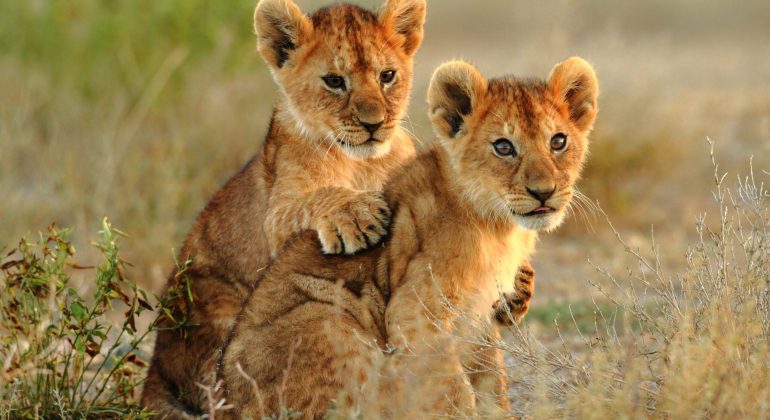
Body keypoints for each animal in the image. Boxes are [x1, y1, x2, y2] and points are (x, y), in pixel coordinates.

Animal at [141, 0, 427, 417]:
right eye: (334, 81)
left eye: (387, 76)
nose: (374, 124)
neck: (363, 163)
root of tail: (153, 375)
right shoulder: (277, 215)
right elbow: (312, 201)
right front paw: (356, 214)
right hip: (214, 304)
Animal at [218, 57, 599, 419]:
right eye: (503, 147)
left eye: (558, 141)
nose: (544, 193)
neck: (498, 227)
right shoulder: (415, 312)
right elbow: (454, 390)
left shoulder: (478, 316)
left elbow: (491, 380)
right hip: (328, 317)